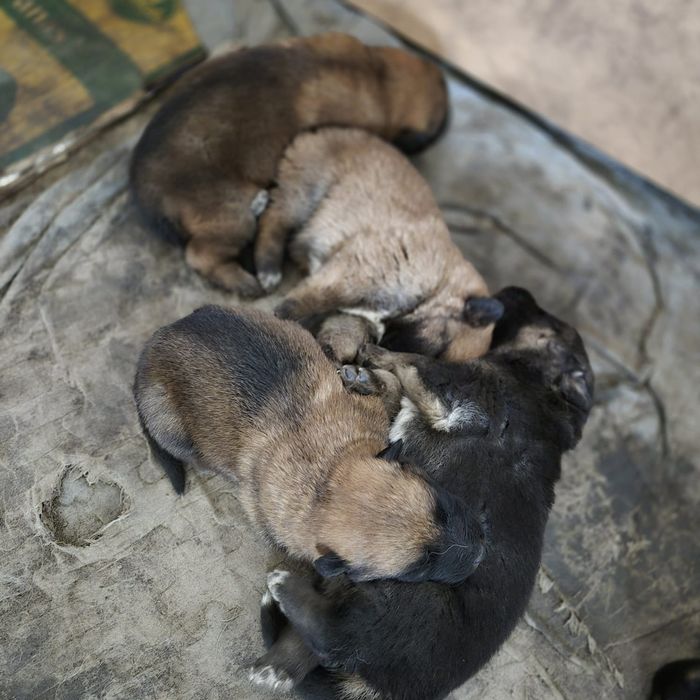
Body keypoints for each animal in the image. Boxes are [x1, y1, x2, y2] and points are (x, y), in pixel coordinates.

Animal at [133, 305, 486, 584]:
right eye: (416, 570)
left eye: (442, 506)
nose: (480, 553)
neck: (326, 475)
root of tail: (155, 342)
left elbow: (392, 384)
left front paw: (364, 378)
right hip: (167, 420)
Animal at [250, 287, 595, 699]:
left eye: (551, 323)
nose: (514, 291)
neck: (544, 391)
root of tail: (374, 687)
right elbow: (402, 382)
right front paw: (367, 376)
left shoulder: (463, 391)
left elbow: (415, 362)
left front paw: (373, 355)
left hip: (402, 591)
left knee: (335, 633)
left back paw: (283, 593)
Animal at [254, 127, 503, 362]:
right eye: (440, 346)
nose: (379, 352)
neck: (438, 283)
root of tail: (320, 132)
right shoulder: (352, 272)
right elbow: (306, 300)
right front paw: (280, 314)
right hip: (303, 193)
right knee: (274, 218)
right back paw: (269, 268)